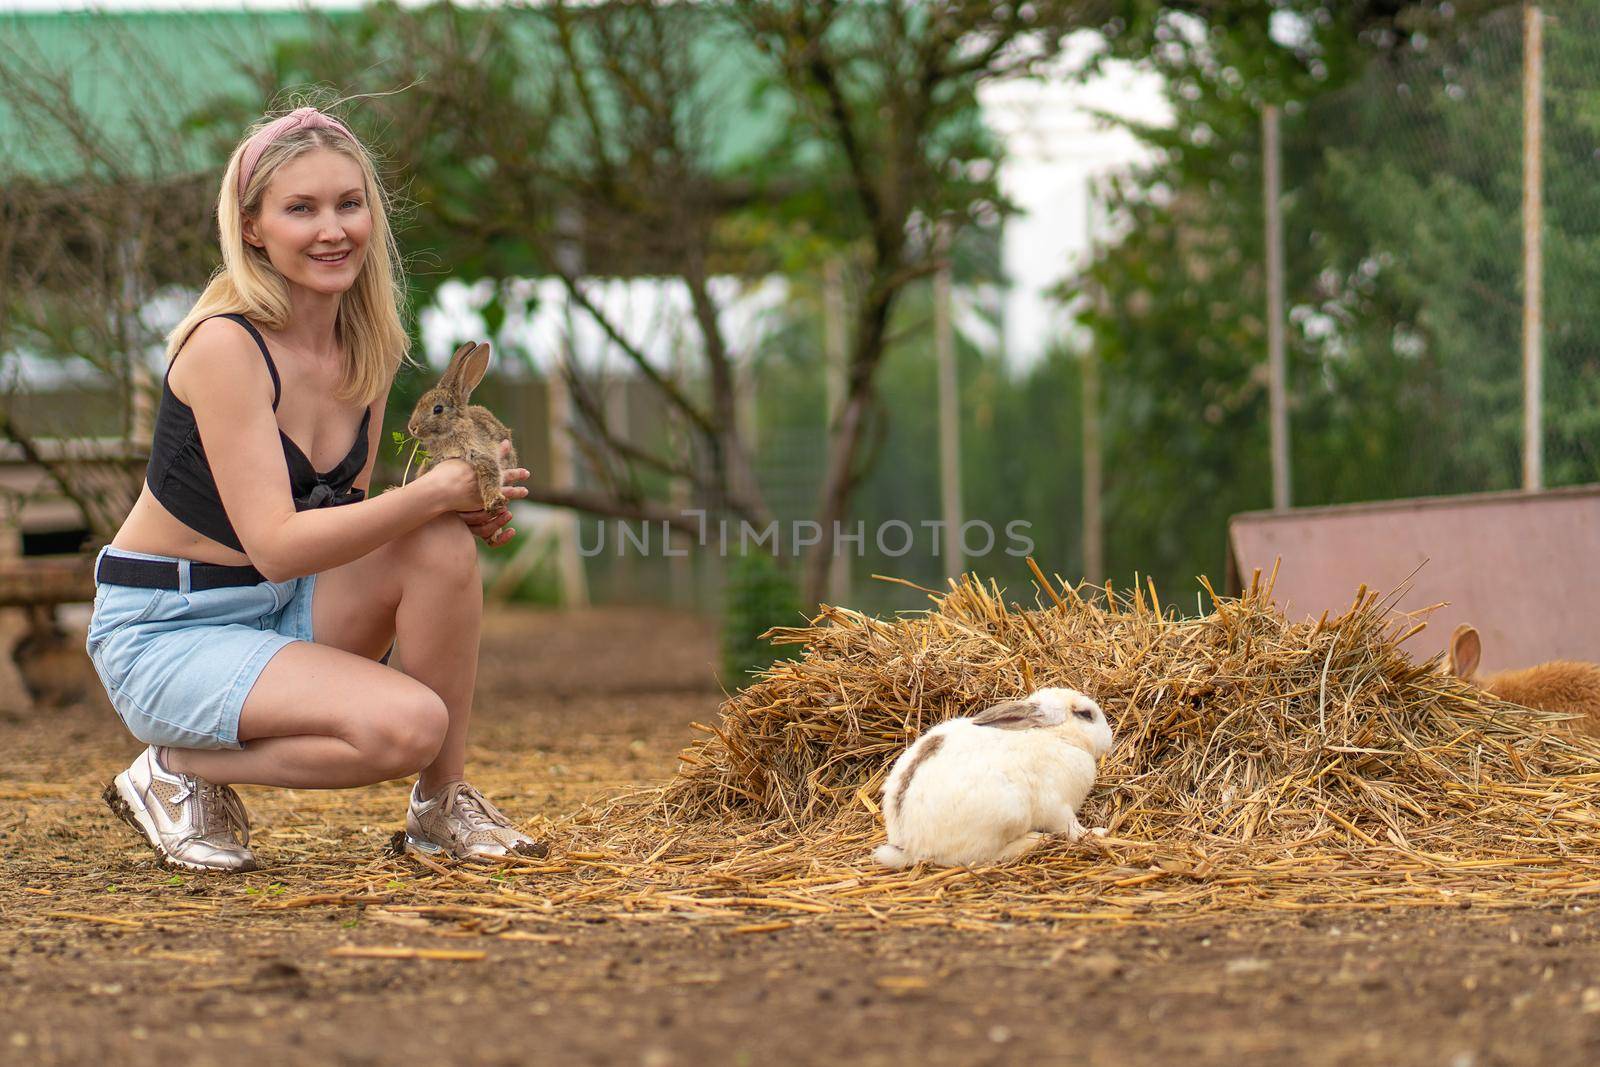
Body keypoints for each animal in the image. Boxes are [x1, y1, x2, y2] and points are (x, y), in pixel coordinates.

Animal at [406, 340, 518, 511]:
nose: (412, 428)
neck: (452, 430)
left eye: (438, 409)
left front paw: (494, 501)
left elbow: (490, 474)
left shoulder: (480, 453)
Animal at [876, 687, 1113, 870]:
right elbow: (1073, 829)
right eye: (1085, 714)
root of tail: (910, 846)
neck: (1055, 735)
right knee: (984, 858)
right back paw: (1034, 839)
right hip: (1009, 815)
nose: (1110, 738)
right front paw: (1098, 832)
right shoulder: (1057, 806)